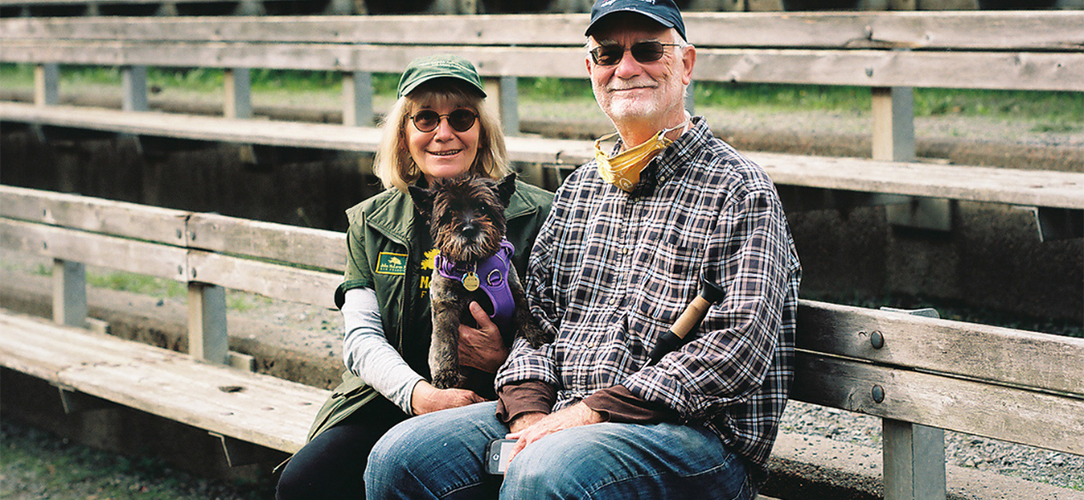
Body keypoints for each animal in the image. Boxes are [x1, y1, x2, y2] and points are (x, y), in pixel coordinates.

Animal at [407, 171, 550, 390]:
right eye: (449, 212)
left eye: (483, 207)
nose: (468, 229)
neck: (473, 265)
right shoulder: (445, 306)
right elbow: (443, 341)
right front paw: (445, 373)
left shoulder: (515, 290)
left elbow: (525, 313)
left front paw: (536, 334)